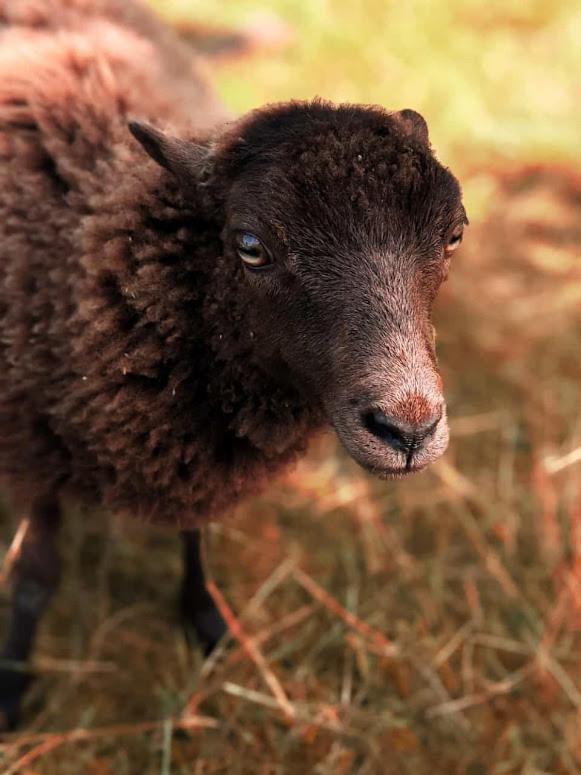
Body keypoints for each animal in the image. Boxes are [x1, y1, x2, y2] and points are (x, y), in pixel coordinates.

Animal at [0, 0, 464, 732]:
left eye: (453, 235)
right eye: (249, 245)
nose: (408, 429)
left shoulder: (194, 443)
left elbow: (196, 534)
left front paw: (206, 621)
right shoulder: (30, 442)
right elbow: (34, 576)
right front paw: (12, 687)